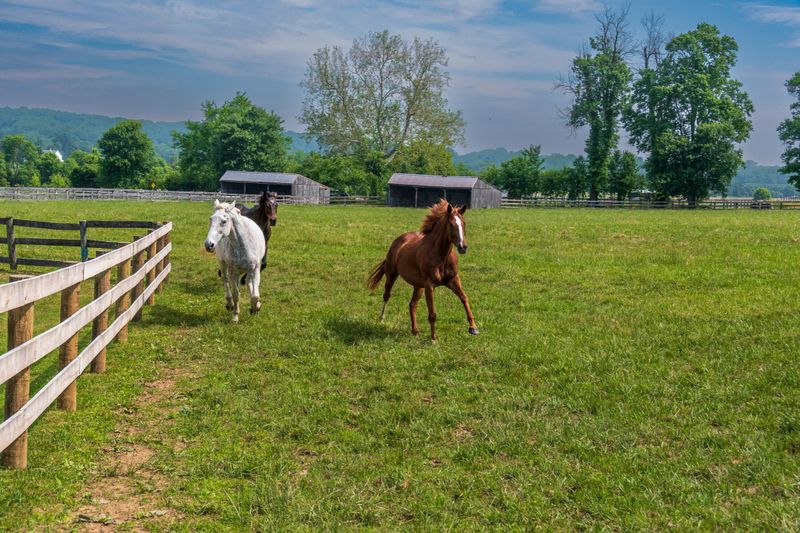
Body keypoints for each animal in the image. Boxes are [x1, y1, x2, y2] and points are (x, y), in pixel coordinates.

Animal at [367, 199, 478, 342]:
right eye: (451, 224)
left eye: (464, 223)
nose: (462, 247)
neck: (441, 256)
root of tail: (398, 240)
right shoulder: (429, 285)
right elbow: (432, 313)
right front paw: (433, 338)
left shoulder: (453, 280)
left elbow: (464, 298)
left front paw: (473, 328)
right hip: (392, 275)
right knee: (387, 295)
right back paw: (381, 318)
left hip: (418, 285)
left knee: (412, 304)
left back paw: (415, 330)